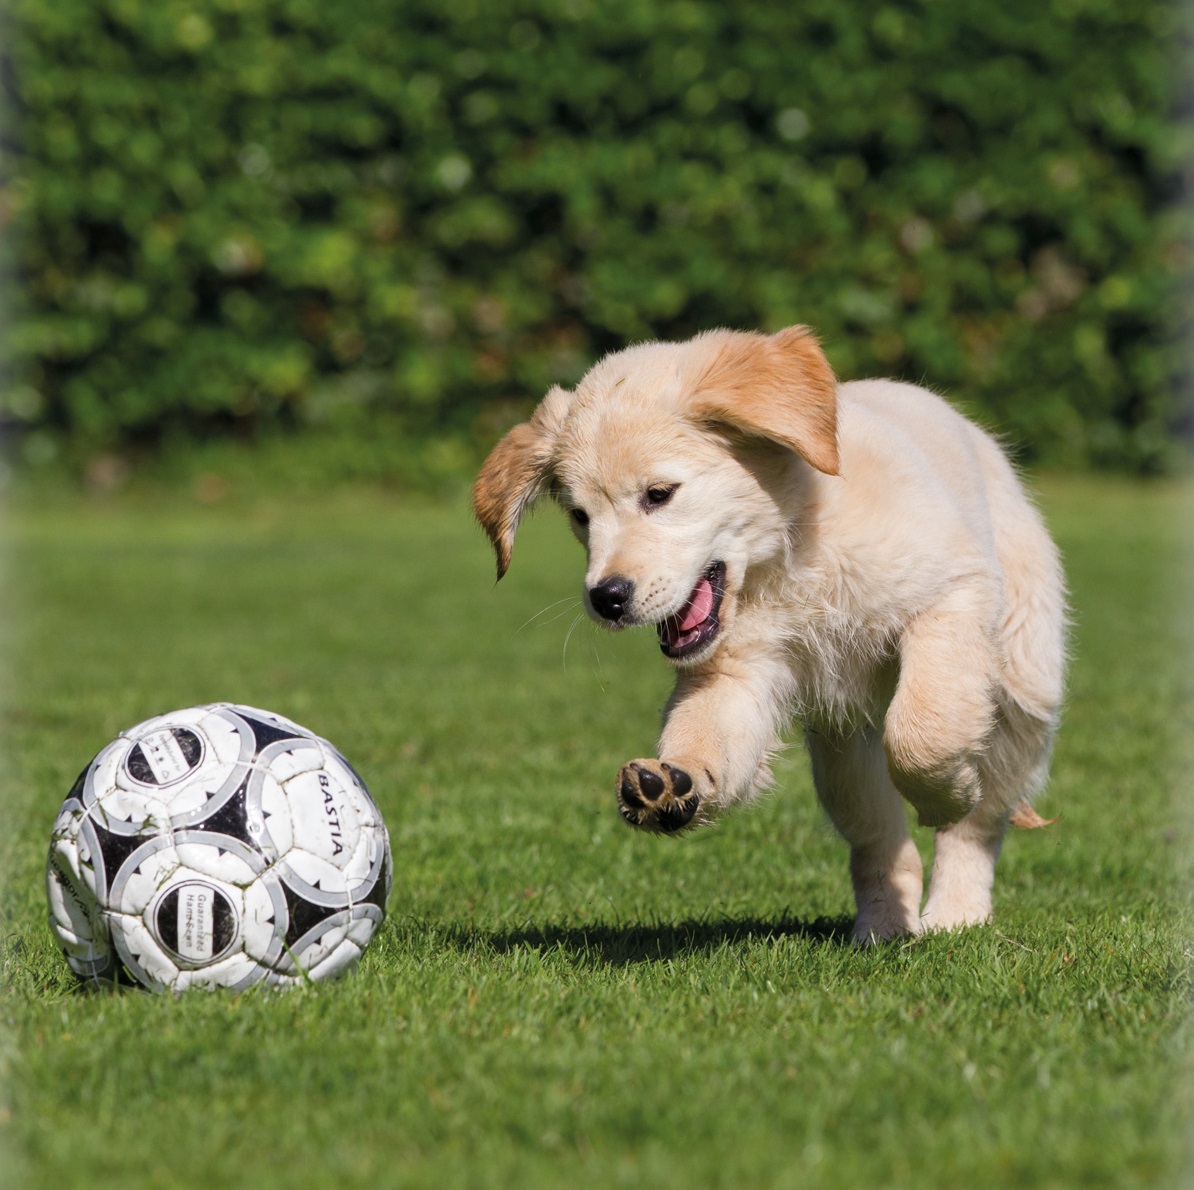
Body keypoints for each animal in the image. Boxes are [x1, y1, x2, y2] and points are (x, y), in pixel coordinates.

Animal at [470, 324, 1069, 935]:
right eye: (579, 516)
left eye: (659, 494)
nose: (606, 598)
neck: (788, 554)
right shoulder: (734, 672)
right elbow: (705, 733)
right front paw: (672, 783)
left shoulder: (951, 594)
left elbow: (922, 733)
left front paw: (946, 797)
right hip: (843, 750)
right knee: (879, 841)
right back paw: (884, 926)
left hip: (1022, 684)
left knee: (982, 819)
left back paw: (955, 913)